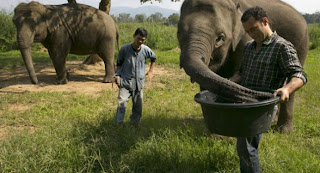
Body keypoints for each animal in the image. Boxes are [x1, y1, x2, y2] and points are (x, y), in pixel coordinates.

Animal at [179, 0, 308, 132]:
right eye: (179, 33)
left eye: (220, 38)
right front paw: (211, 132)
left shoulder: (244, 39)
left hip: (300, 45)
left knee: (294, 76)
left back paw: (282, 130)